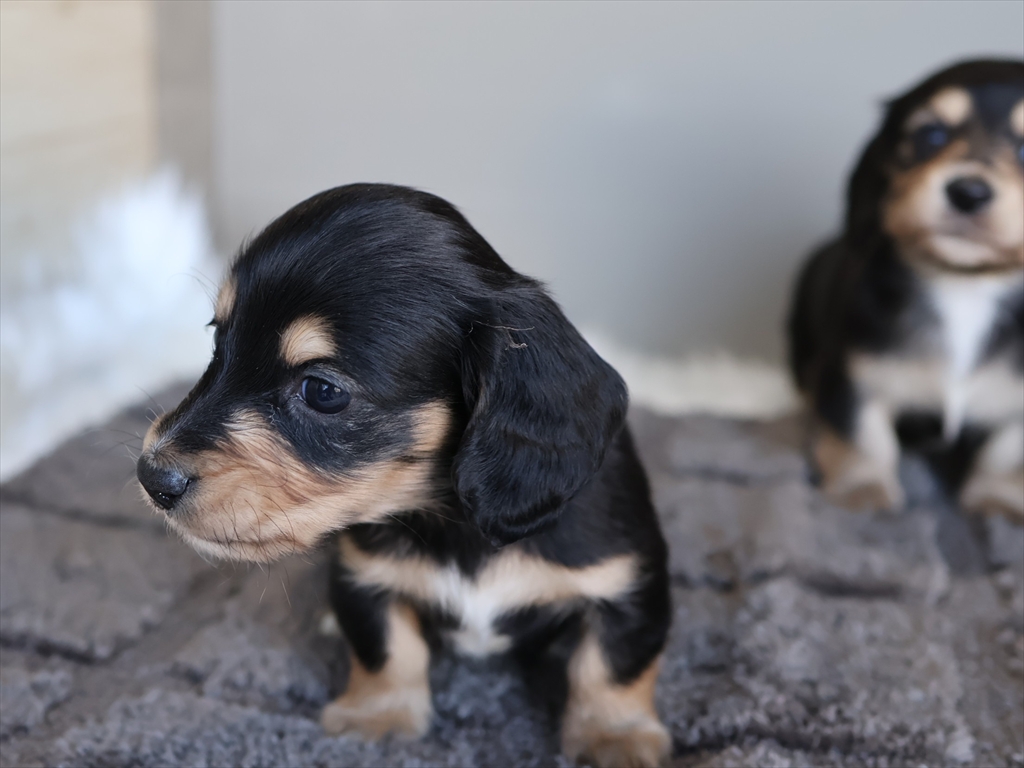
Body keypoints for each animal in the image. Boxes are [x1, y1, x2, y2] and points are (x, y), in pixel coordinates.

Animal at [136, 184, 672, 767]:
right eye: (218, 344)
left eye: (322, 391)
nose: (152, 477)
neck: (452, 520)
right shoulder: (364, 574)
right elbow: (388, 646)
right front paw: (380, 716)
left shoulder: (629, 584)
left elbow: (611, 665)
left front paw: (613, 737)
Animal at [787, 59, 1024, 516]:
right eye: (931, 134)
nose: (968, 192)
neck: (965, 286)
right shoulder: (852, 375)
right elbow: (862, 437)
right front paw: (862, 490)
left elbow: (1006, 454)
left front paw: (999, 502)